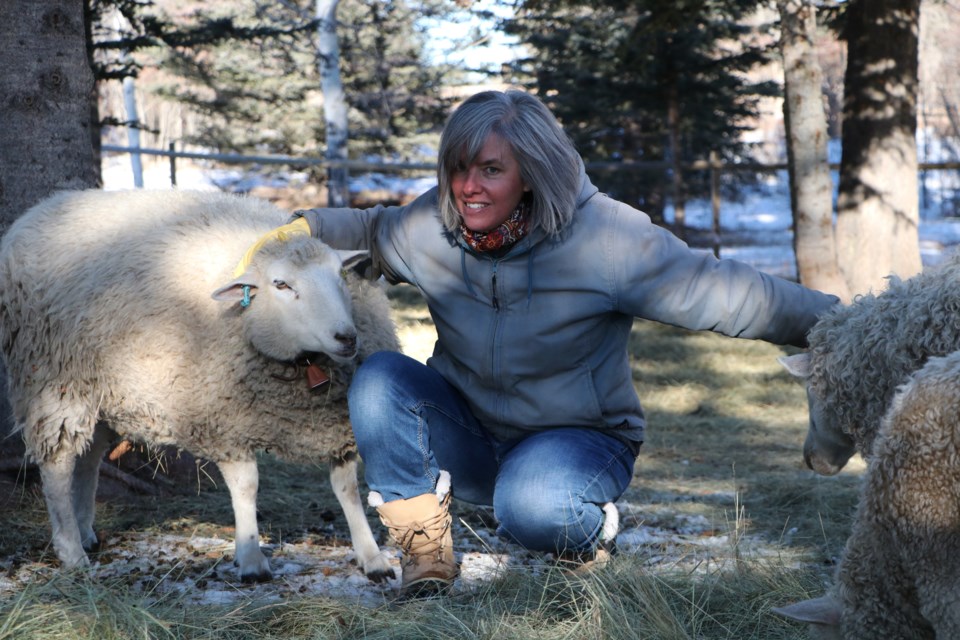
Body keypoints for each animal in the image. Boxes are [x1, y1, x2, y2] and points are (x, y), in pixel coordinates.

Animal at [0, 188, 398, 584]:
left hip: (101, 391)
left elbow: (347, 489)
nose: (347, 338)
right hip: (53, 381)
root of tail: (41, 209)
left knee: (89, 458)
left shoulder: (334, 424)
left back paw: (85, 532)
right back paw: (71, 550)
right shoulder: (226, 420)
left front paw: (371, 557)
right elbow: (247, 487)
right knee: (58, 465)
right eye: (281, 284)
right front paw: (251, 558)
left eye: (340, 276)